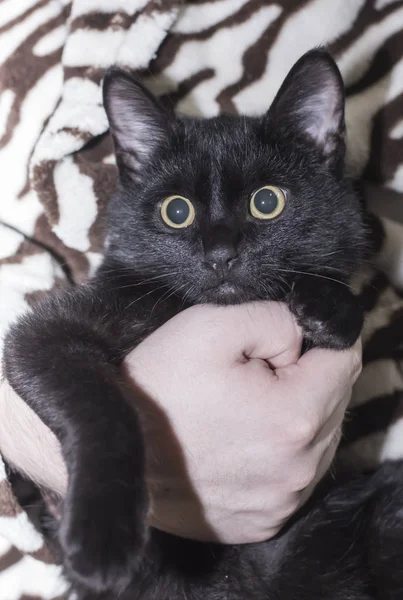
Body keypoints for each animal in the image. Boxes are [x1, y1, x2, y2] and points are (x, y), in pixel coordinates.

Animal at [3, 49, 403, 596]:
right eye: (176, 211)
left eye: (267, 201)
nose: (219, 255)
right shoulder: (45, 335)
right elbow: (101, 408)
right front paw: (102, 534)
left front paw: (328, 307)